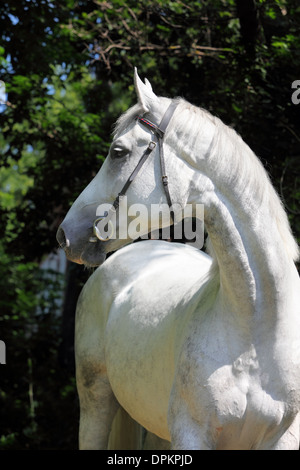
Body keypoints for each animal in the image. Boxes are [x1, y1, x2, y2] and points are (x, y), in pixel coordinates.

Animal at [56, 70, 300, 452]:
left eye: (118, 152)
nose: (66, 234)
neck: (258, 327)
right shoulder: (192, 435)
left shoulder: (283, 438)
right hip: (96, 403)